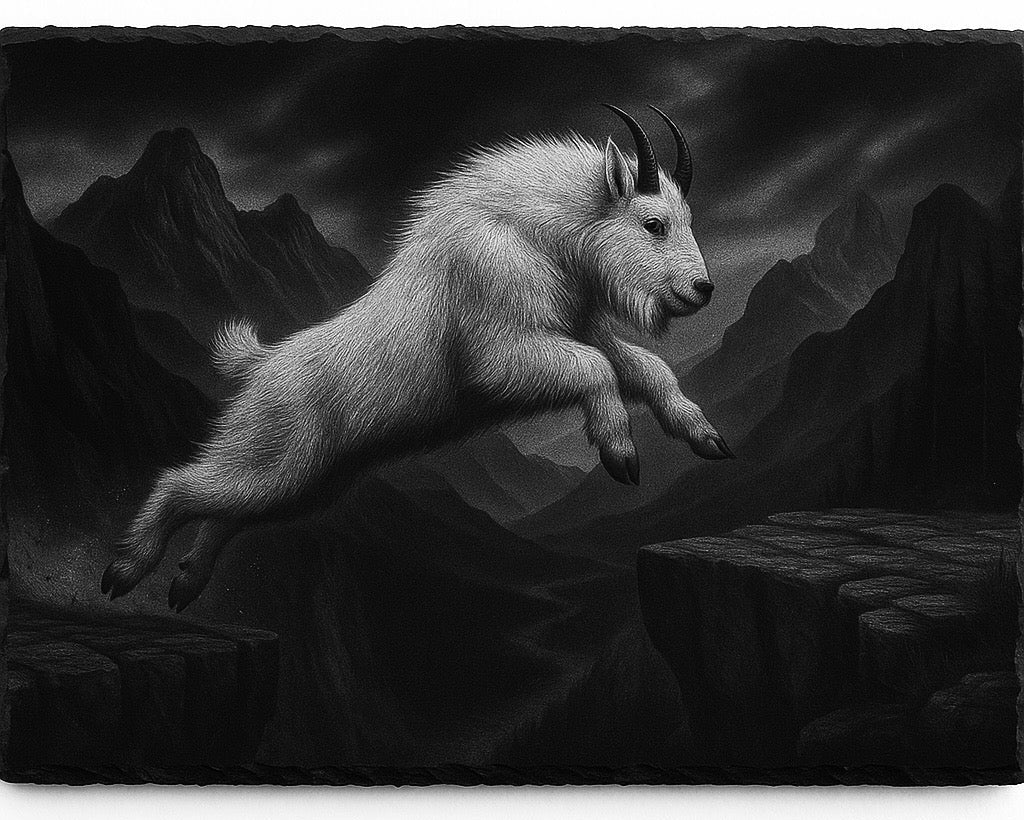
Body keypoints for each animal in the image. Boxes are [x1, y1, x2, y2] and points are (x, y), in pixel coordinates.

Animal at [101, 105, 733, 611]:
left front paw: (707, 438)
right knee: (181, 484)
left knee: (225, 513)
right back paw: (125, 571)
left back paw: (185, 582)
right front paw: (620, 453)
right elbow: (597, 370)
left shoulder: (578, 330)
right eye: (653, 223)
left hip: (307, 483)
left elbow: (644, 367)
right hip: (274, 459)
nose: (703, 290)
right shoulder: (503, 354)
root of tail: (259, 366)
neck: (537, 234)